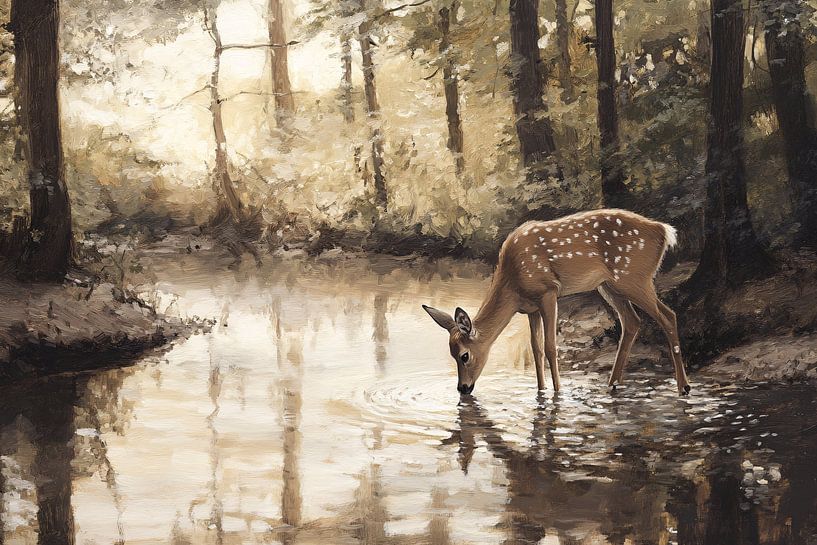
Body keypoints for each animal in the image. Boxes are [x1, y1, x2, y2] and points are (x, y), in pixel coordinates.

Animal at [422, 209, 691, 396]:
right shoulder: (529, 308)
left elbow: (551, 346)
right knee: (632, 321)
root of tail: (664, 231)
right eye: (452, 353)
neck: (512, 284)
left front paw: (557, 392)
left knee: (668, 315)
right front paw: (540, 390)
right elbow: (536, 348)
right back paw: (613, 383)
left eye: (464, 355)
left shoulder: (548, 291)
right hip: (609, 286)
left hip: (634, 277)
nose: (463, 388)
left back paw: (684, 387)